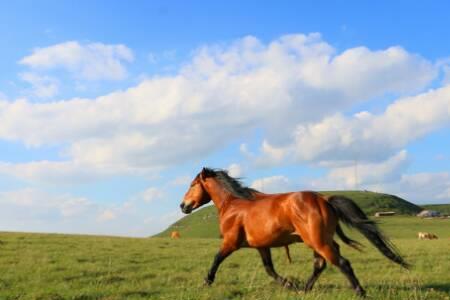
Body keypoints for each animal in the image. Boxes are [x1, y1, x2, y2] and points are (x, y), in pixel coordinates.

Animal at [179, 168, 408, 296]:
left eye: (192, 184)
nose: (183, 206)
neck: (234, 205)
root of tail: (324, 199)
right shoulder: (262, 246)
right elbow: (269, 269)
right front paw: (288, 284)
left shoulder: (231, 242)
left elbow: (216, 260)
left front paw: (206, 282)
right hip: (319, 241)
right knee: (320, 264)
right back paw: (303, 289)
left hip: (318, 241)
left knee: (342, 263)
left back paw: (360, 292)